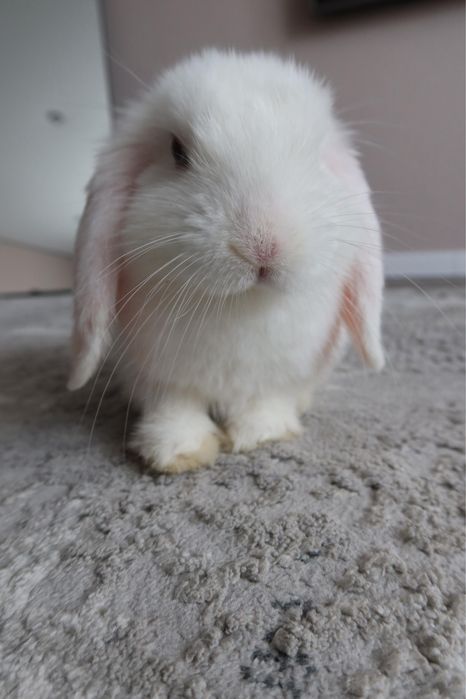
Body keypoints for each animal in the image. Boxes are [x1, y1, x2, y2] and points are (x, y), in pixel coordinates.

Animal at [68, 49, 384, 474]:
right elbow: (175, 408)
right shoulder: (160, 376)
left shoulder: (279, 374)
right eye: (177, 152)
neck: (241, 305)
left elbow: (267, 399)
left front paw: (262, 435)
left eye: (315, 155)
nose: (263, 245)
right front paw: (178, 453)